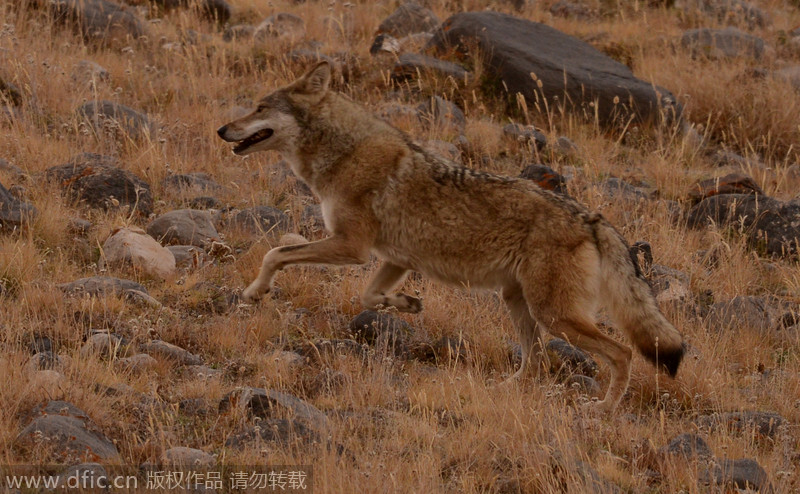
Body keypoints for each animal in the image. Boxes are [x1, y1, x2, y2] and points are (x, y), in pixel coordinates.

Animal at [217, 61, 680, 412]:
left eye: (259, 107)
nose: (222, 130)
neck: (344, 152)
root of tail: (591, 218)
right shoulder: (394, 259)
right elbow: (369, 296)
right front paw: (406, 303)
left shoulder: (352, 247)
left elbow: (276, 252)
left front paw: (255, 291)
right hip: (521, 306)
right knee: (535, 363)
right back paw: (503, 392)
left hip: (554, 316)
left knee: (620, 353)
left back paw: (604, 408)